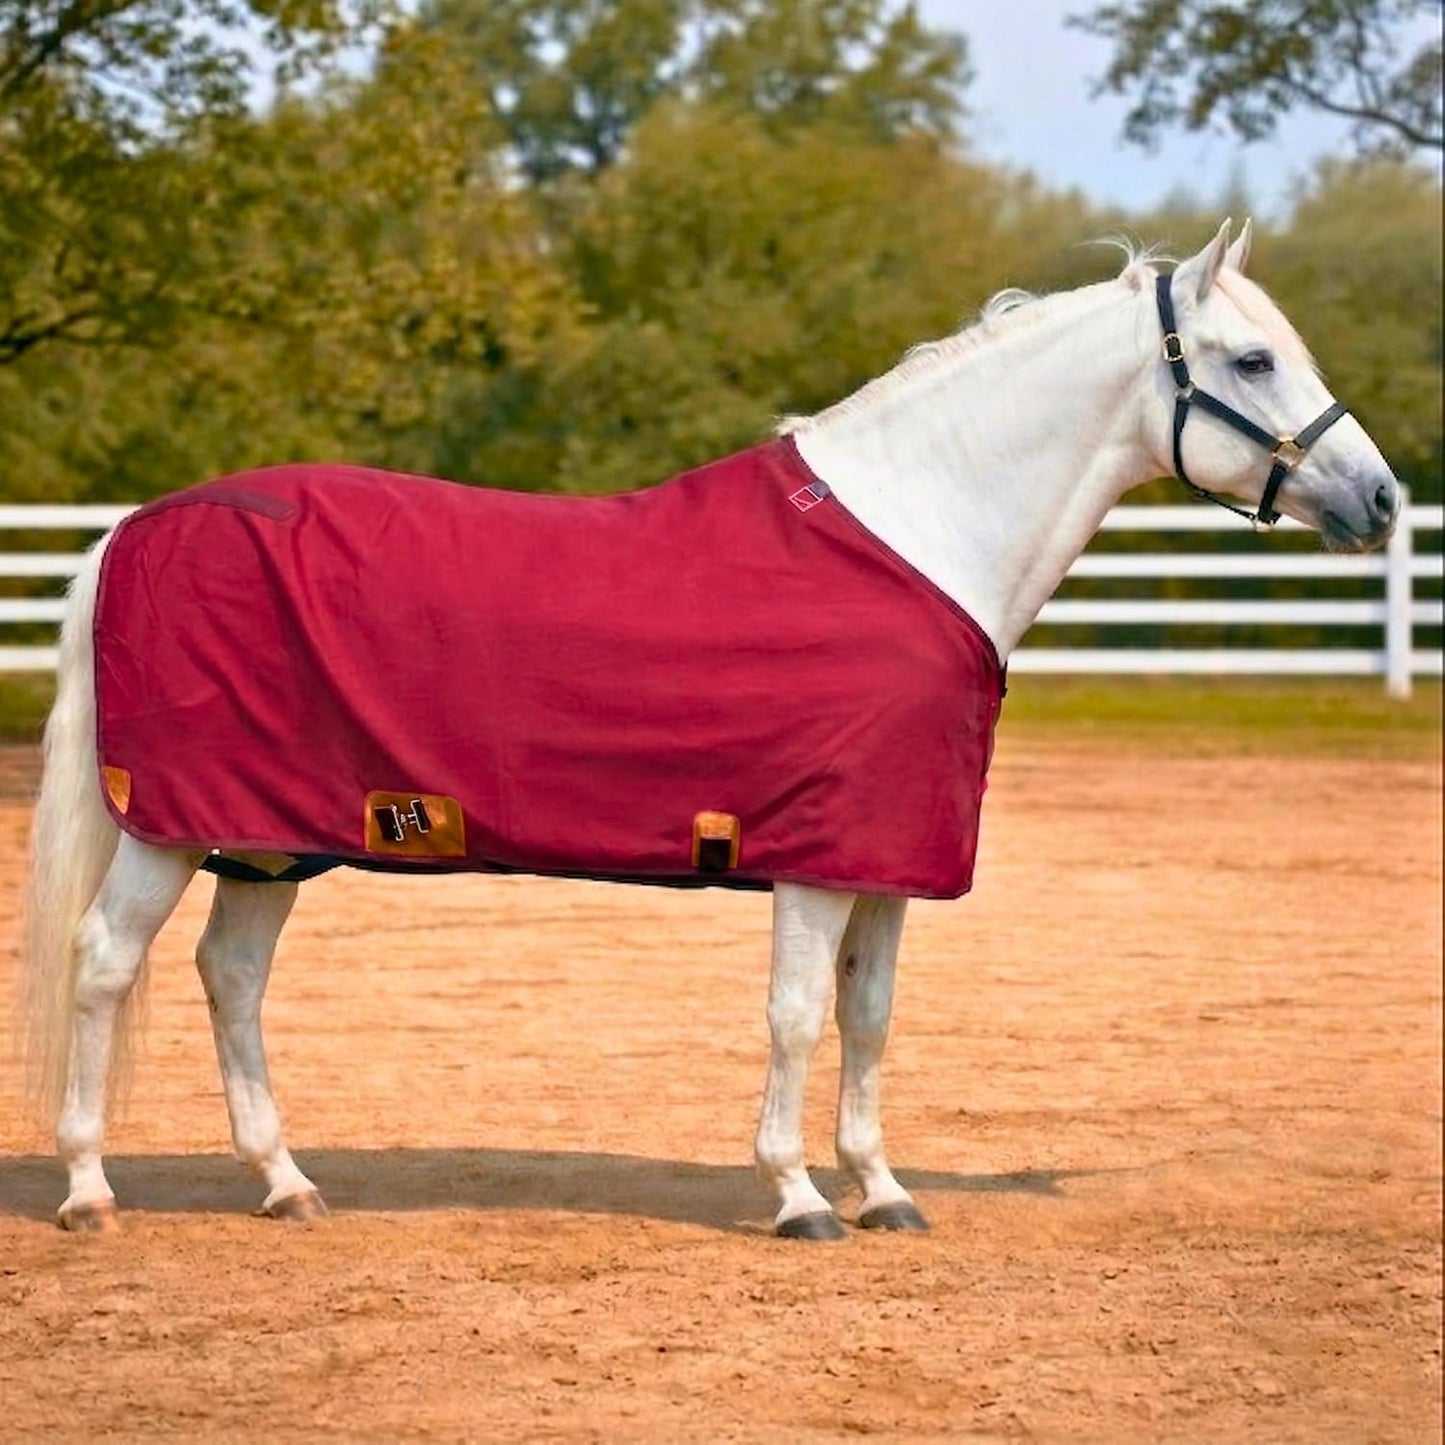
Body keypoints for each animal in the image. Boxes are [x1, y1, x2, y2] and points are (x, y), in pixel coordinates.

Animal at [19, 220, 1399, 1240]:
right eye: (1251, 361)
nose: (1380, 499)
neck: (915, 533)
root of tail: (136, 523)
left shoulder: (884, 855)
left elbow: (869, 1015)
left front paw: (882, 1189)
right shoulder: (812, 857)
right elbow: (794, 1014)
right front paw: (795, 1197)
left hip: (267, 836)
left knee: (231, 976)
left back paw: (286, 1182)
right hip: (171, 828)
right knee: (105, 963)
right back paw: (89, 1189)